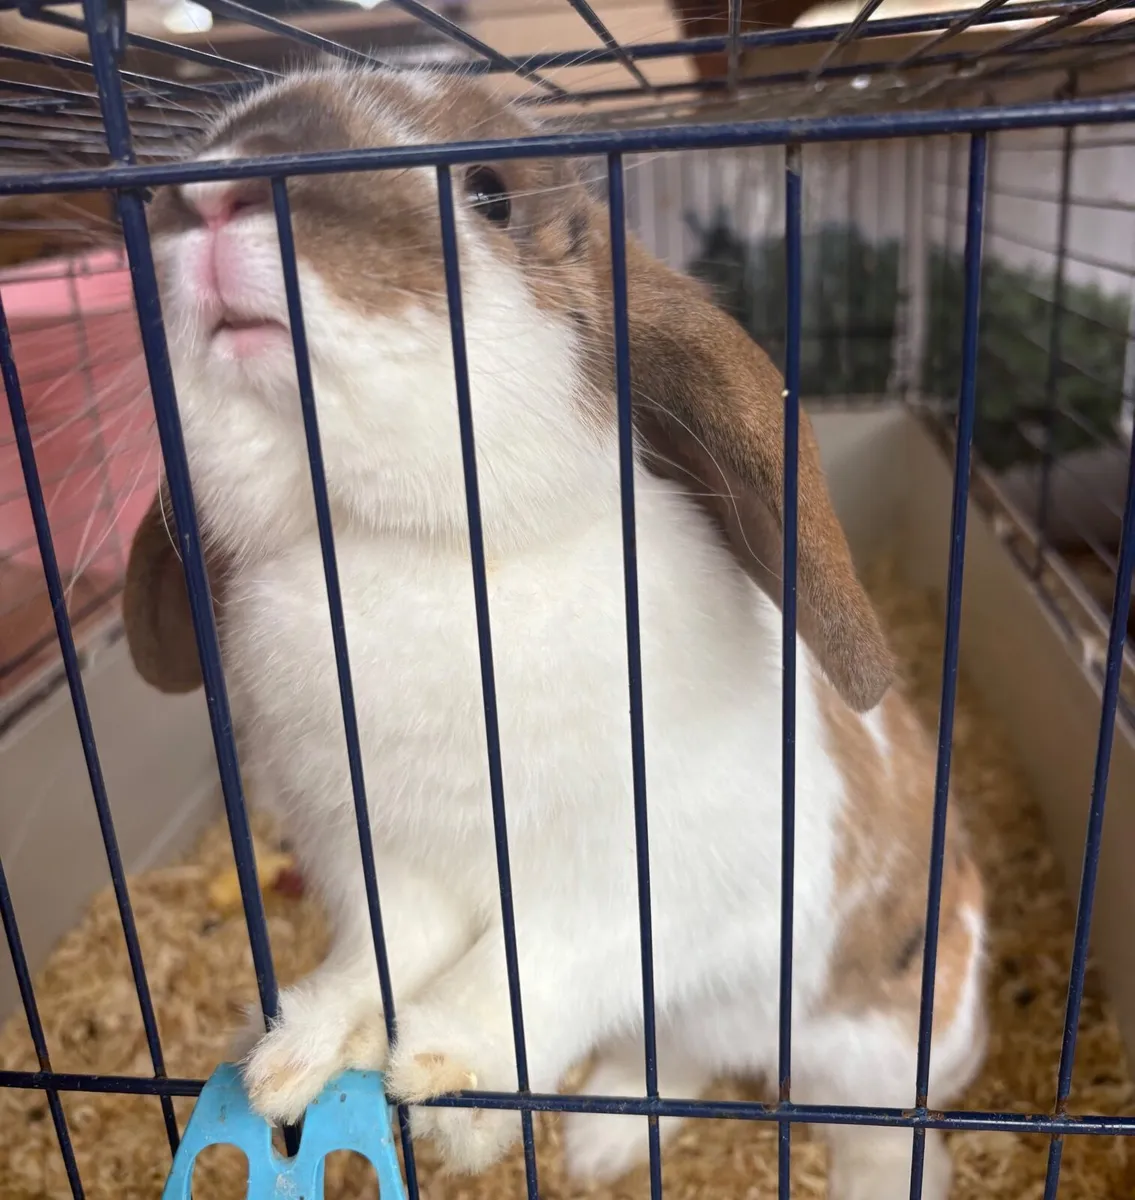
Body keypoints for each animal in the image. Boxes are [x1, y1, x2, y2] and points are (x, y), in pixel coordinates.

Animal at [127, 65, 987, 1198]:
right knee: (676, 1062)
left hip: (881, 1049)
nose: (210, 196)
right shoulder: (373, 861)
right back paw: (602, 1139)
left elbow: (531, 970)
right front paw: (296, 1056)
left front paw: (446, 1080)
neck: (403, 554)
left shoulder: (640, 885)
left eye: (490, 196)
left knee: (881, 1130)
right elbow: (379, 959)